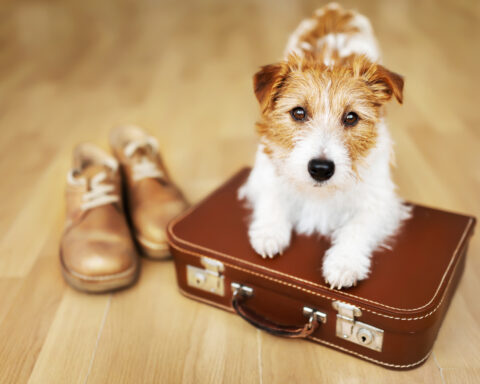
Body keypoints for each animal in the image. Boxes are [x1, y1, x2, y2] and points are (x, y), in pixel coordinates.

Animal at [238, 3, 410, 290]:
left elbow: (357, 226)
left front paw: (343, 263)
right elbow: (273, 196)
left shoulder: (380, 201)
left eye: (351, 117)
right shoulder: (264, 172)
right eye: (298, 112)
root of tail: (336, 8)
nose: (320, 168)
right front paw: (269, 232)